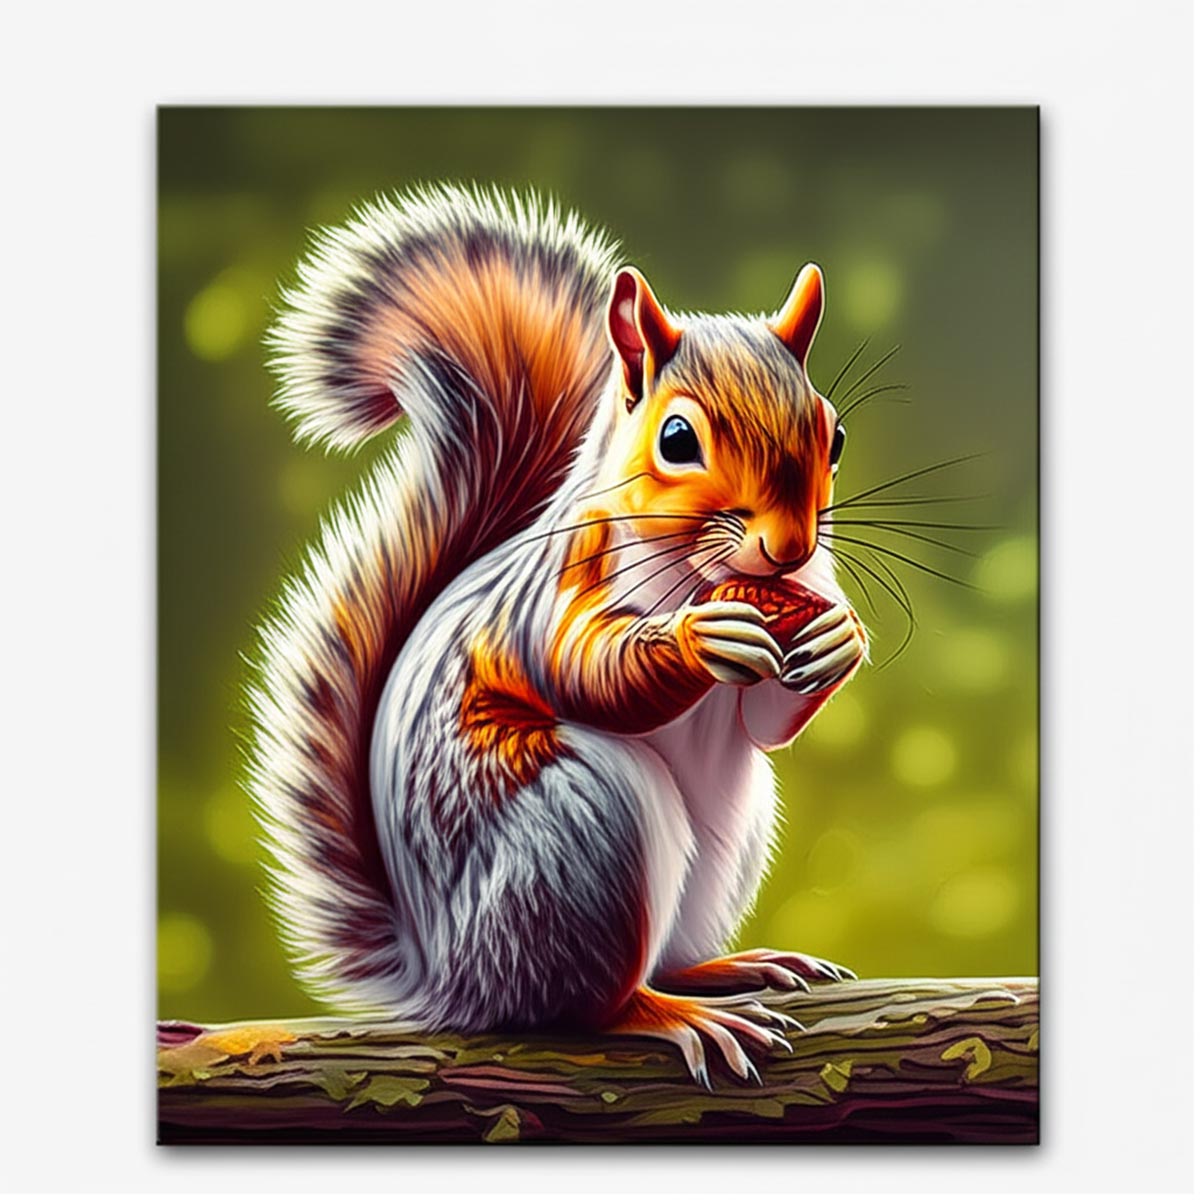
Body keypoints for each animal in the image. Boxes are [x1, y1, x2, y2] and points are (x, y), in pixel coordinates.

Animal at [245, 183, 868, 1087]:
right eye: (677, 440)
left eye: (835, 433)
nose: (789, 549)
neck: (702, 567)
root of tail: (451, 978)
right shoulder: (556, 594)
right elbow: (585, 671)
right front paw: (697, 639)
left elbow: (767, 723)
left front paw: (839, 641)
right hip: (580, 829)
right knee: (589, 1004)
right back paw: (671, 1014)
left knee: (670, 954)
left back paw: (729, 967)